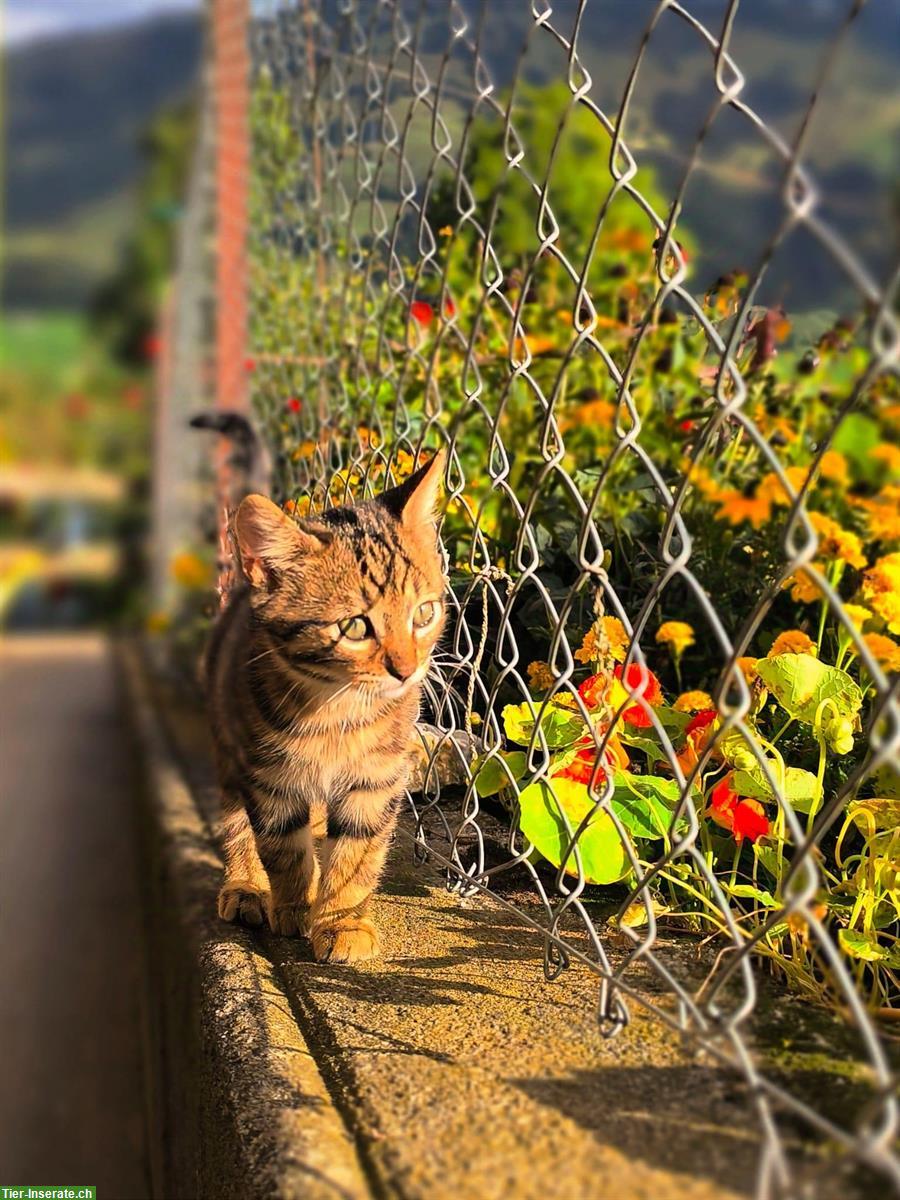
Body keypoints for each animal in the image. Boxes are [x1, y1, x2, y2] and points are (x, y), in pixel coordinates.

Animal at [202, 453, 446, 960]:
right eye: (354, 627)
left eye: (424, 614)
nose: (407, 670)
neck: (337, 710)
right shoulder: (270, 778)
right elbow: (283, 849)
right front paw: (295, 907)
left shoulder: (376, 777)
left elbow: (357, 854)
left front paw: (341, 921)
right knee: (235, 823)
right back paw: (246, 887)